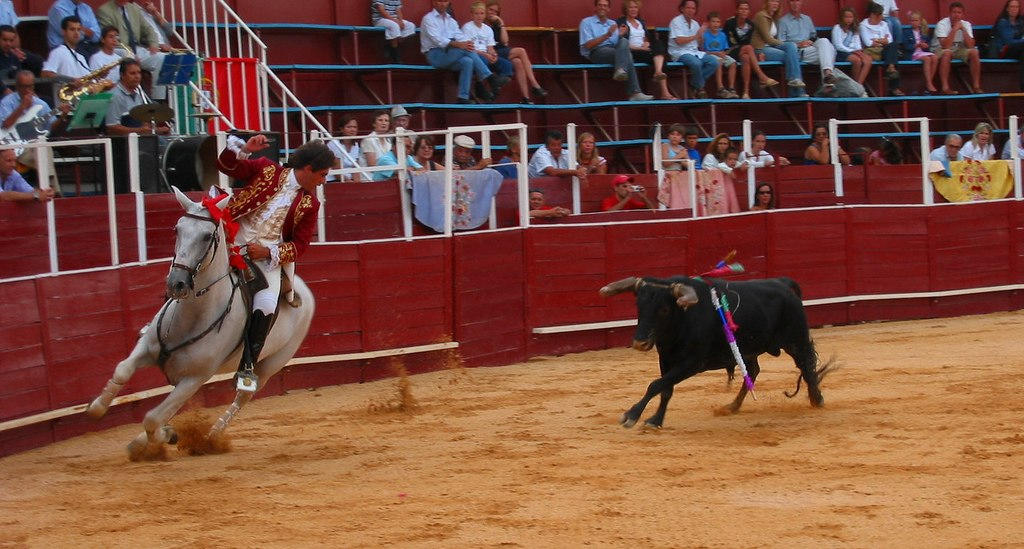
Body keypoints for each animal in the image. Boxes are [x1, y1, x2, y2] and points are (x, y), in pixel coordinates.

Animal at [88, 186, 315, 456]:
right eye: (177, 229)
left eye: (208, 236)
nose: (176, 283)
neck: (191, 317)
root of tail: (302, 288)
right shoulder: (147, 348)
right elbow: (122, 371)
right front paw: (97, 407)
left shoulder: (195, 378)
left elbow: (152, 418)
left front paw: (167, 435)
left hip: (272, 363)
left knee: (243, 396)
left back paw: (211, 437)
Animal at [598, 274, 831, 428]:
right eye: (639, 306)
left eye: (663, 309)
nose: (640, 342)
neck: (682, 319)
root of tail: (783, 283)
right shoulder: (666, 359)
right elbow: (665, 388)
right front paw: (656, 420)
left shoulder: (691, 363)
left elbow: (655, 385)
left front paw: (632, 415)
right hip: (747, 351)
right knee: (753, 371)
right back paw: (732, 406)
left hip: (796, 340)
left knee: (807, 366)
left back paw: (817, 399)